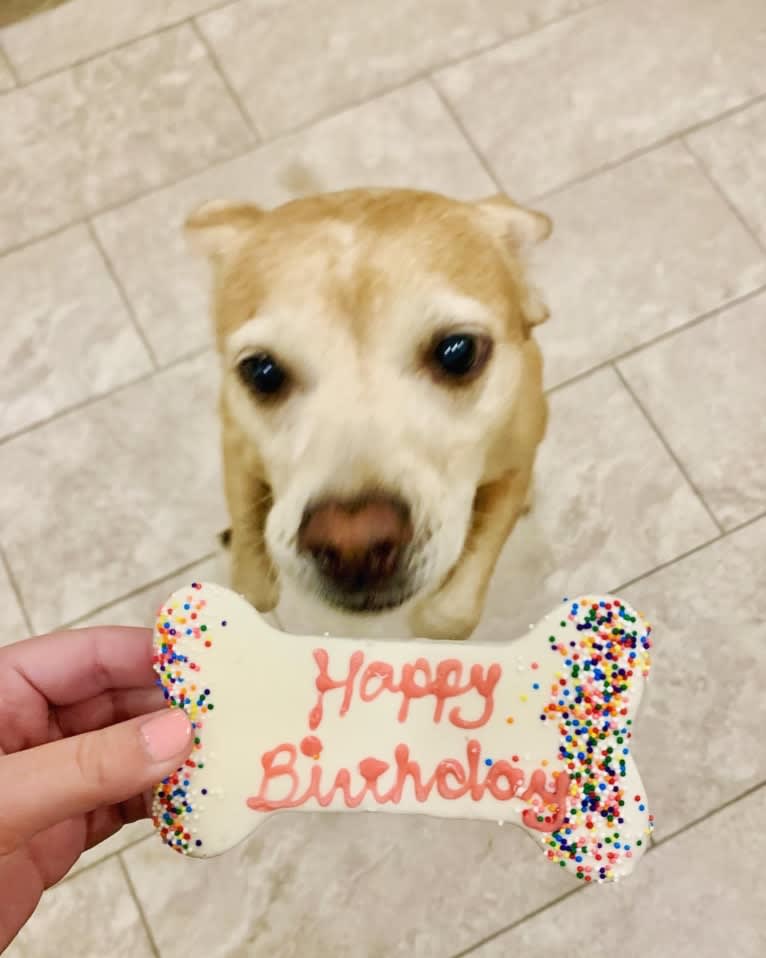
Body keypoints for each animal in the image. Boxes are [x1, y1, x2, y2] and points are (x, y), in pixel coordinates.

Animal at [190, 190, 556, 640]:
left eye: (459, 352)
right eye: (261, 372)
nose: (354, 546)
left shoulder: (517, 459)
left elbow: (451, 614)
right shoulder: (236, 444)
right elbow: (253, 583)